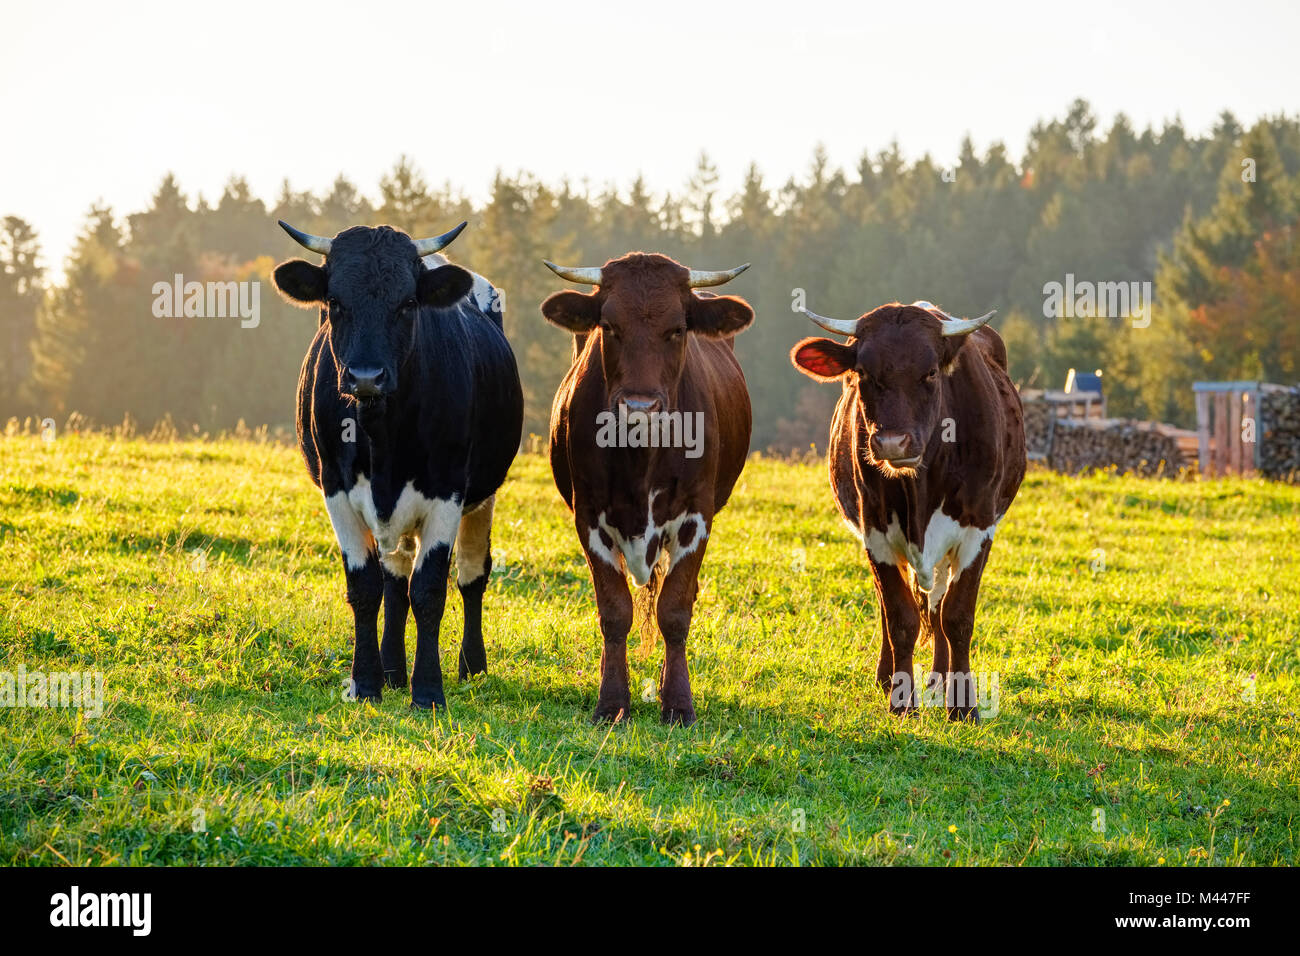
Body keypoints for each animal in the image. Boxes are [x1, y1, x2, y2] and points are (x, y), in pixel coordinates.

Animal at [273, 218, 522, 712]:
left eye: (408, 304)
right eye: (334, 302)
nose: (366, 376)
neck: (381, 432)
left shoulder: (448, 491)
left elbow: (429, 590)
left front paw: (427, 691)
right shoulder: (336, 489)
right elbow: (367, 588)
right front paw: (367, 682)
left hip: (484, 495)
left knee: (471, 574)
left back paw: (472, 668)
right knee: (394, 580)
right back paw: (391, 671)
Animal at [543, 254, 759, 723]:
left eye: (677, 328)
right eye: (609, 326)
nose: (640, 407)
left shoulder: (697, 517)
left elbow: (675, 610)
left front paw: (677, 702)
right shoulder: (589, 516)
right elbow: (614, 610)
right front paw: (611, 701)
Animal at [785, 299, 1019, 717]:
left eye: (930, 372)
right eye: (862, 372)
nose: (892, 443)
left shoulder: (978, 529)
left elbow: (957, 617)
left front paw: (964, 707)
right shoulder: (875, 531)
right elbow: (899, 617)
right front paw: (901, 701)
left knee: (939, 606)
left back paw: (940, 679)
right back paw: (888, 677)